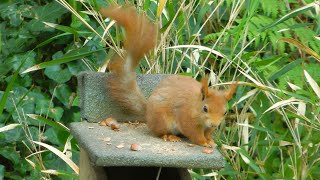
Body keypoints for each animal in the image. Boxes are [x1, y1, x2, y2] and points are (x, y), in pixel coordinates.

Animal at [100, 4, 238, 148]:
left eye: (225, 111)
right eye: (205, 108)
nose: (214, 124)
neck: (195, 104)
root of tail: (148, 113)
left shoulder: (209, 127)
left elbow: (208, 133)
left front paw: (210, 140)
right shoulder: (186, 117)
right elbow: (194, 133)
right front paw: (203, 142)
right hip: (162, 120)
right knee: (159, 132)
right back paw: (169, 136)